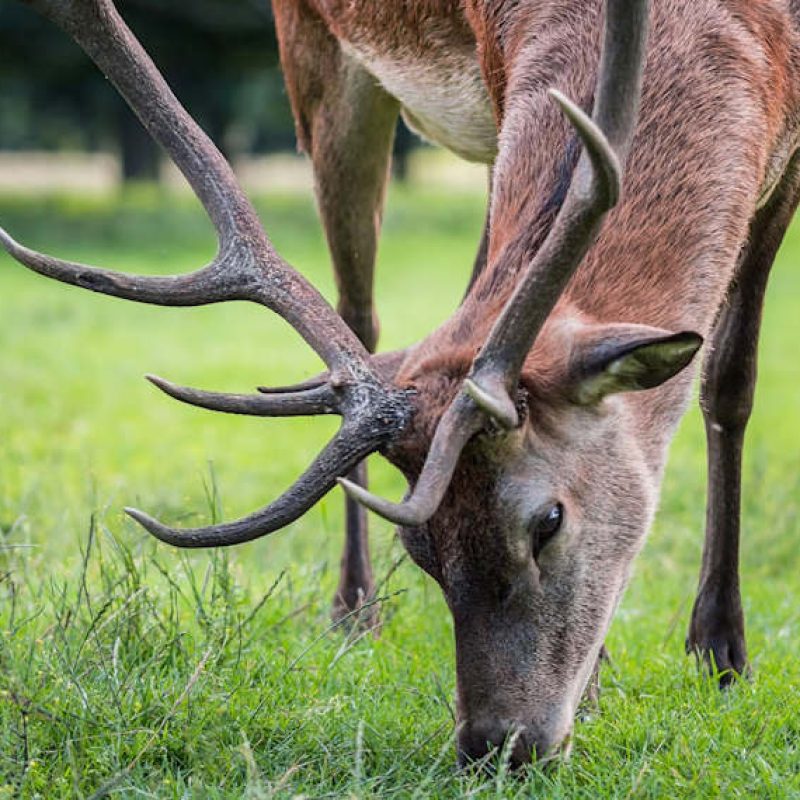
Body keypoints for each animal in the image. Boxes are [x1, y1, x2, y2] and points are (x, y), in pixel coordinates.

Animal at [1, 0, 800, 768]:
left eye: (548, 522)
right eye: (421, 550)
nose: (497, 746)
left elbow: (730, 378)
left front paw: (721, 652)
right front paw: (604, 678)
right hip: (322, 69)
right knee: (365, 311)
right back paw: (355, 609)